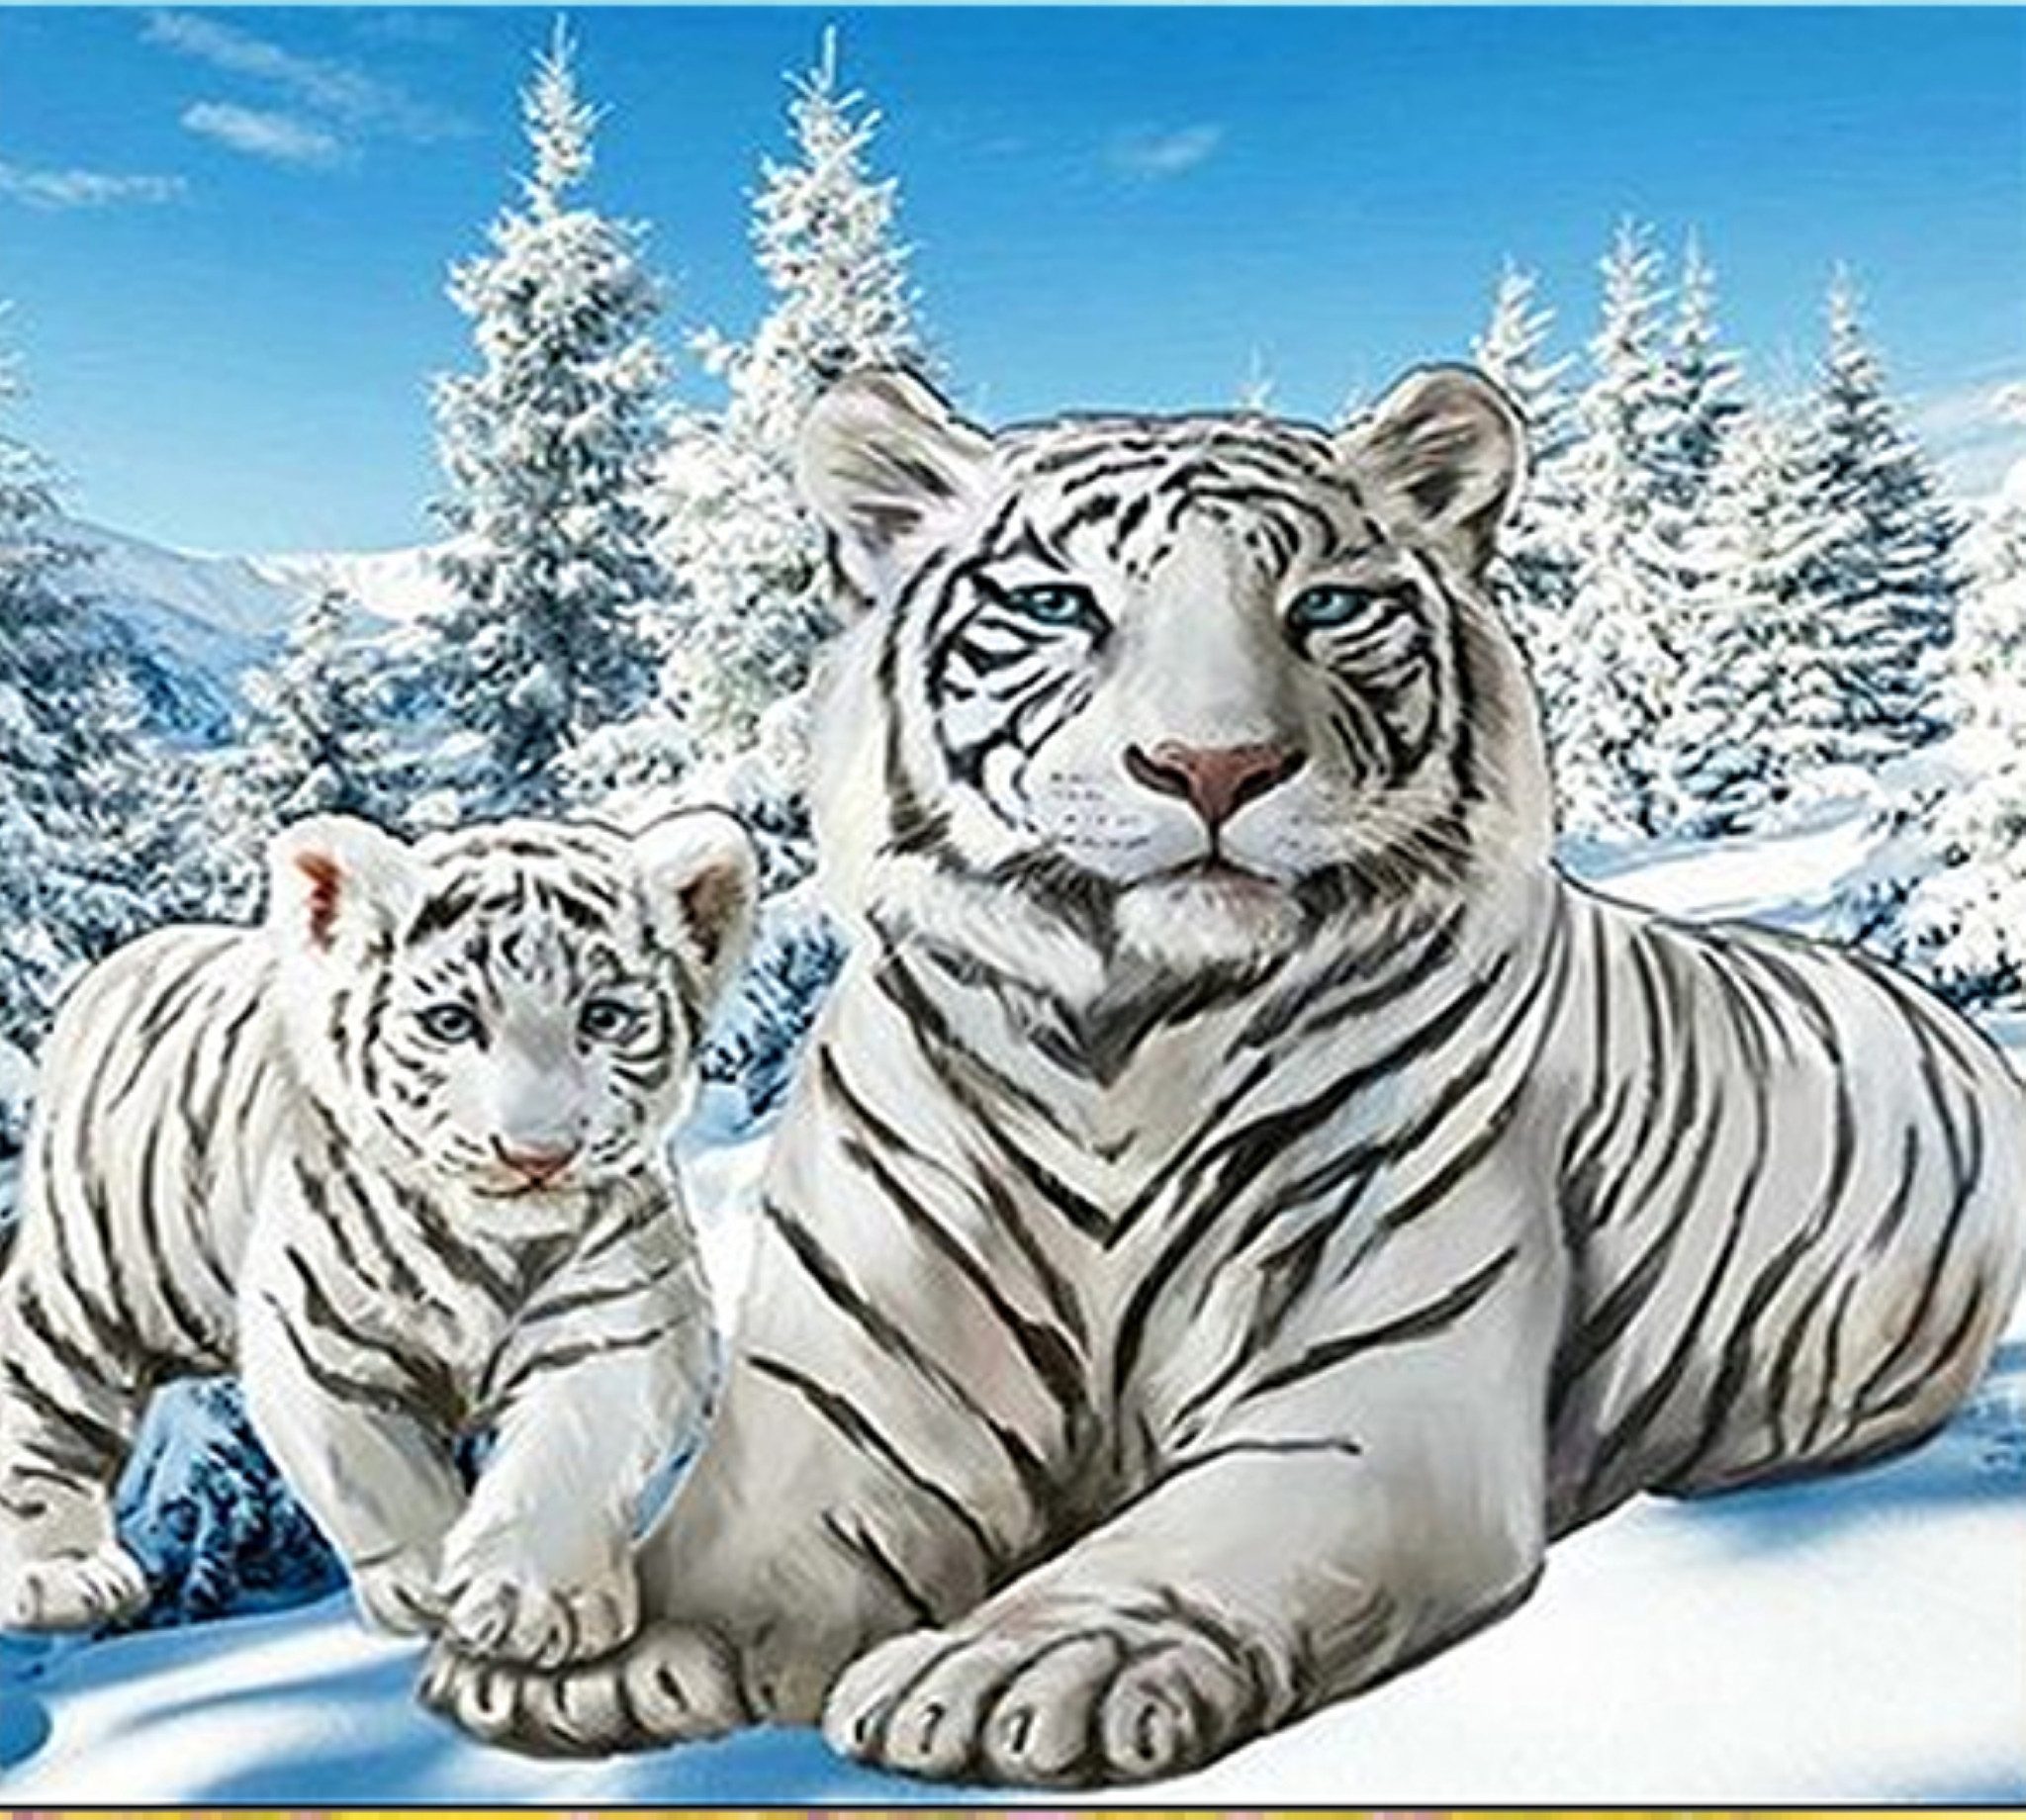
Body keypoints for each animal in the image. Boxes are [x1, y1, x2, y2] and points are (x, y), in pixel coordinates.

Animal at [0, 806, 755, 1672]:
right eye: (452, 1022)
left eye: (603, 1017)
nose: (536, 1155)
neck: (497, 1245)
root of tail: (130, 957)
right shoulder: (321, 1340)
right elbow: (381, 1476)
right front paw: (430, 1591)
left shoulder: (622, 1324)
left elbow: (568, 1460)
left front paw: (536, 1606)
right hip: (93, 1278)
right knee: (42, 1390)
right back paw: (60, 1575)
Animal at [418, 366, 2026, 1784]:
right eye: (1058, 604)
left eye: (1323, 605)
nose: (1213, 767)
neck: (1118, 1044)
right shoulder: (854, 1388)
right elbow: (741, 1538)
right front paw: (594, 1648)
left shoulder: (1367, 1397)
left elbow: (1184, 1540)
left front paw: (1017, 1666)